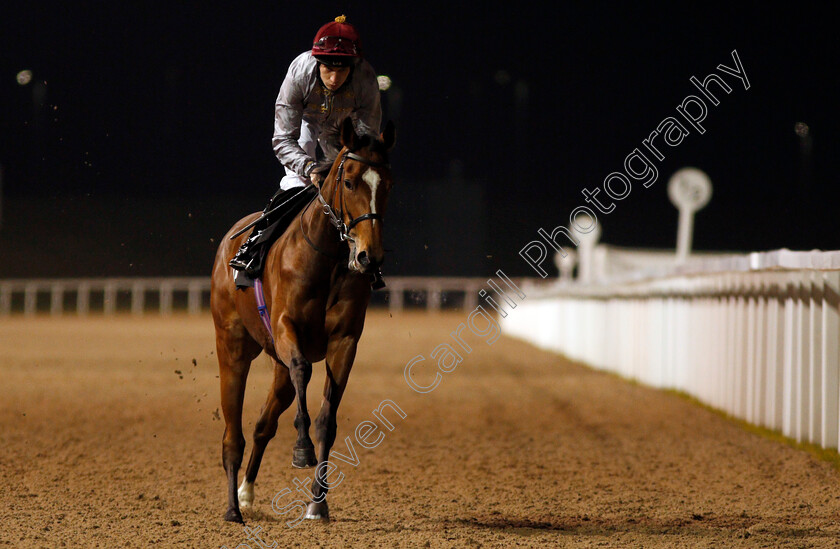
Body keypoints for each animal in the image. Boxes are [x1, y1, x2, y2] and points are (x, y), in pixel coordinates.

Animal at [208, 116, 396, 524]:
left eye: (388, 184)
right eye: (349, 181)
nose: (369, 256)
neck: (327, 259)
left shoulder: (345, 341)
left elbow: (327, 418)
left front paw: (318, 502)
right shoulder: (285, 328)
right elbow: (302, 370)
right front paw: (301, 449)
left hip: (273, 367)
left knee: (262, 425)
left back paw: (246, 493)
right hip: (232, 346)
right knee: (233, 432)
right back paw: (232, 508)